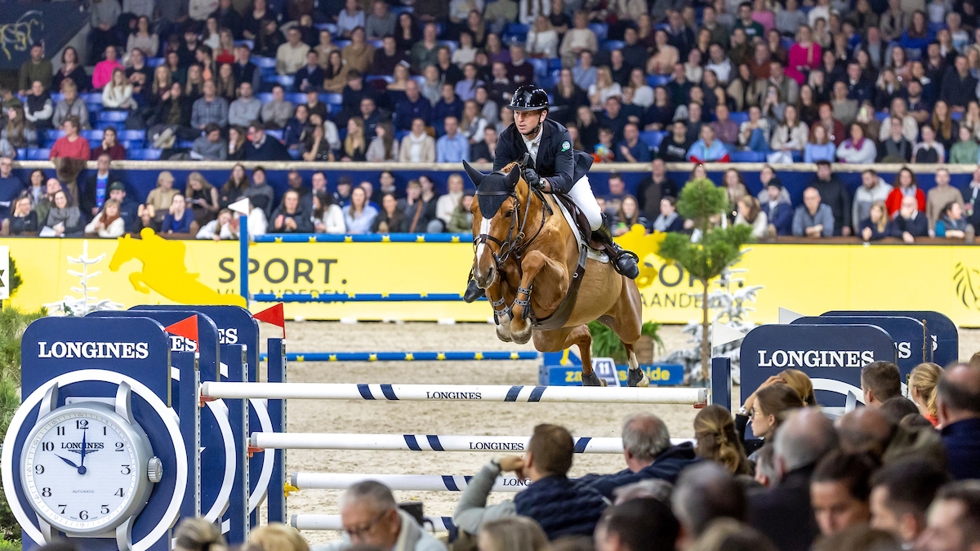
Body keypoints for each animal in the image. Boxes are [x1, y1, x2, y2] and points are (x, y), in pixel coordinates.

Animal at [464, 161, 648, 388]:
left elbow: (533, 259)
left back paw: (637, 377)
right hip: (552, 333)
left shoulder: (557, 287)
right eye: (472, 210)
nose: (482, 271)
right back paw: (592, 379)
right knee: (583, 334)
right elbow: (498, 278)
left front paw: (518, 326)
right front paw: (507, 323)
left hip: (627, 316)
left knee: (629, 339)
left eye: (508, 212)